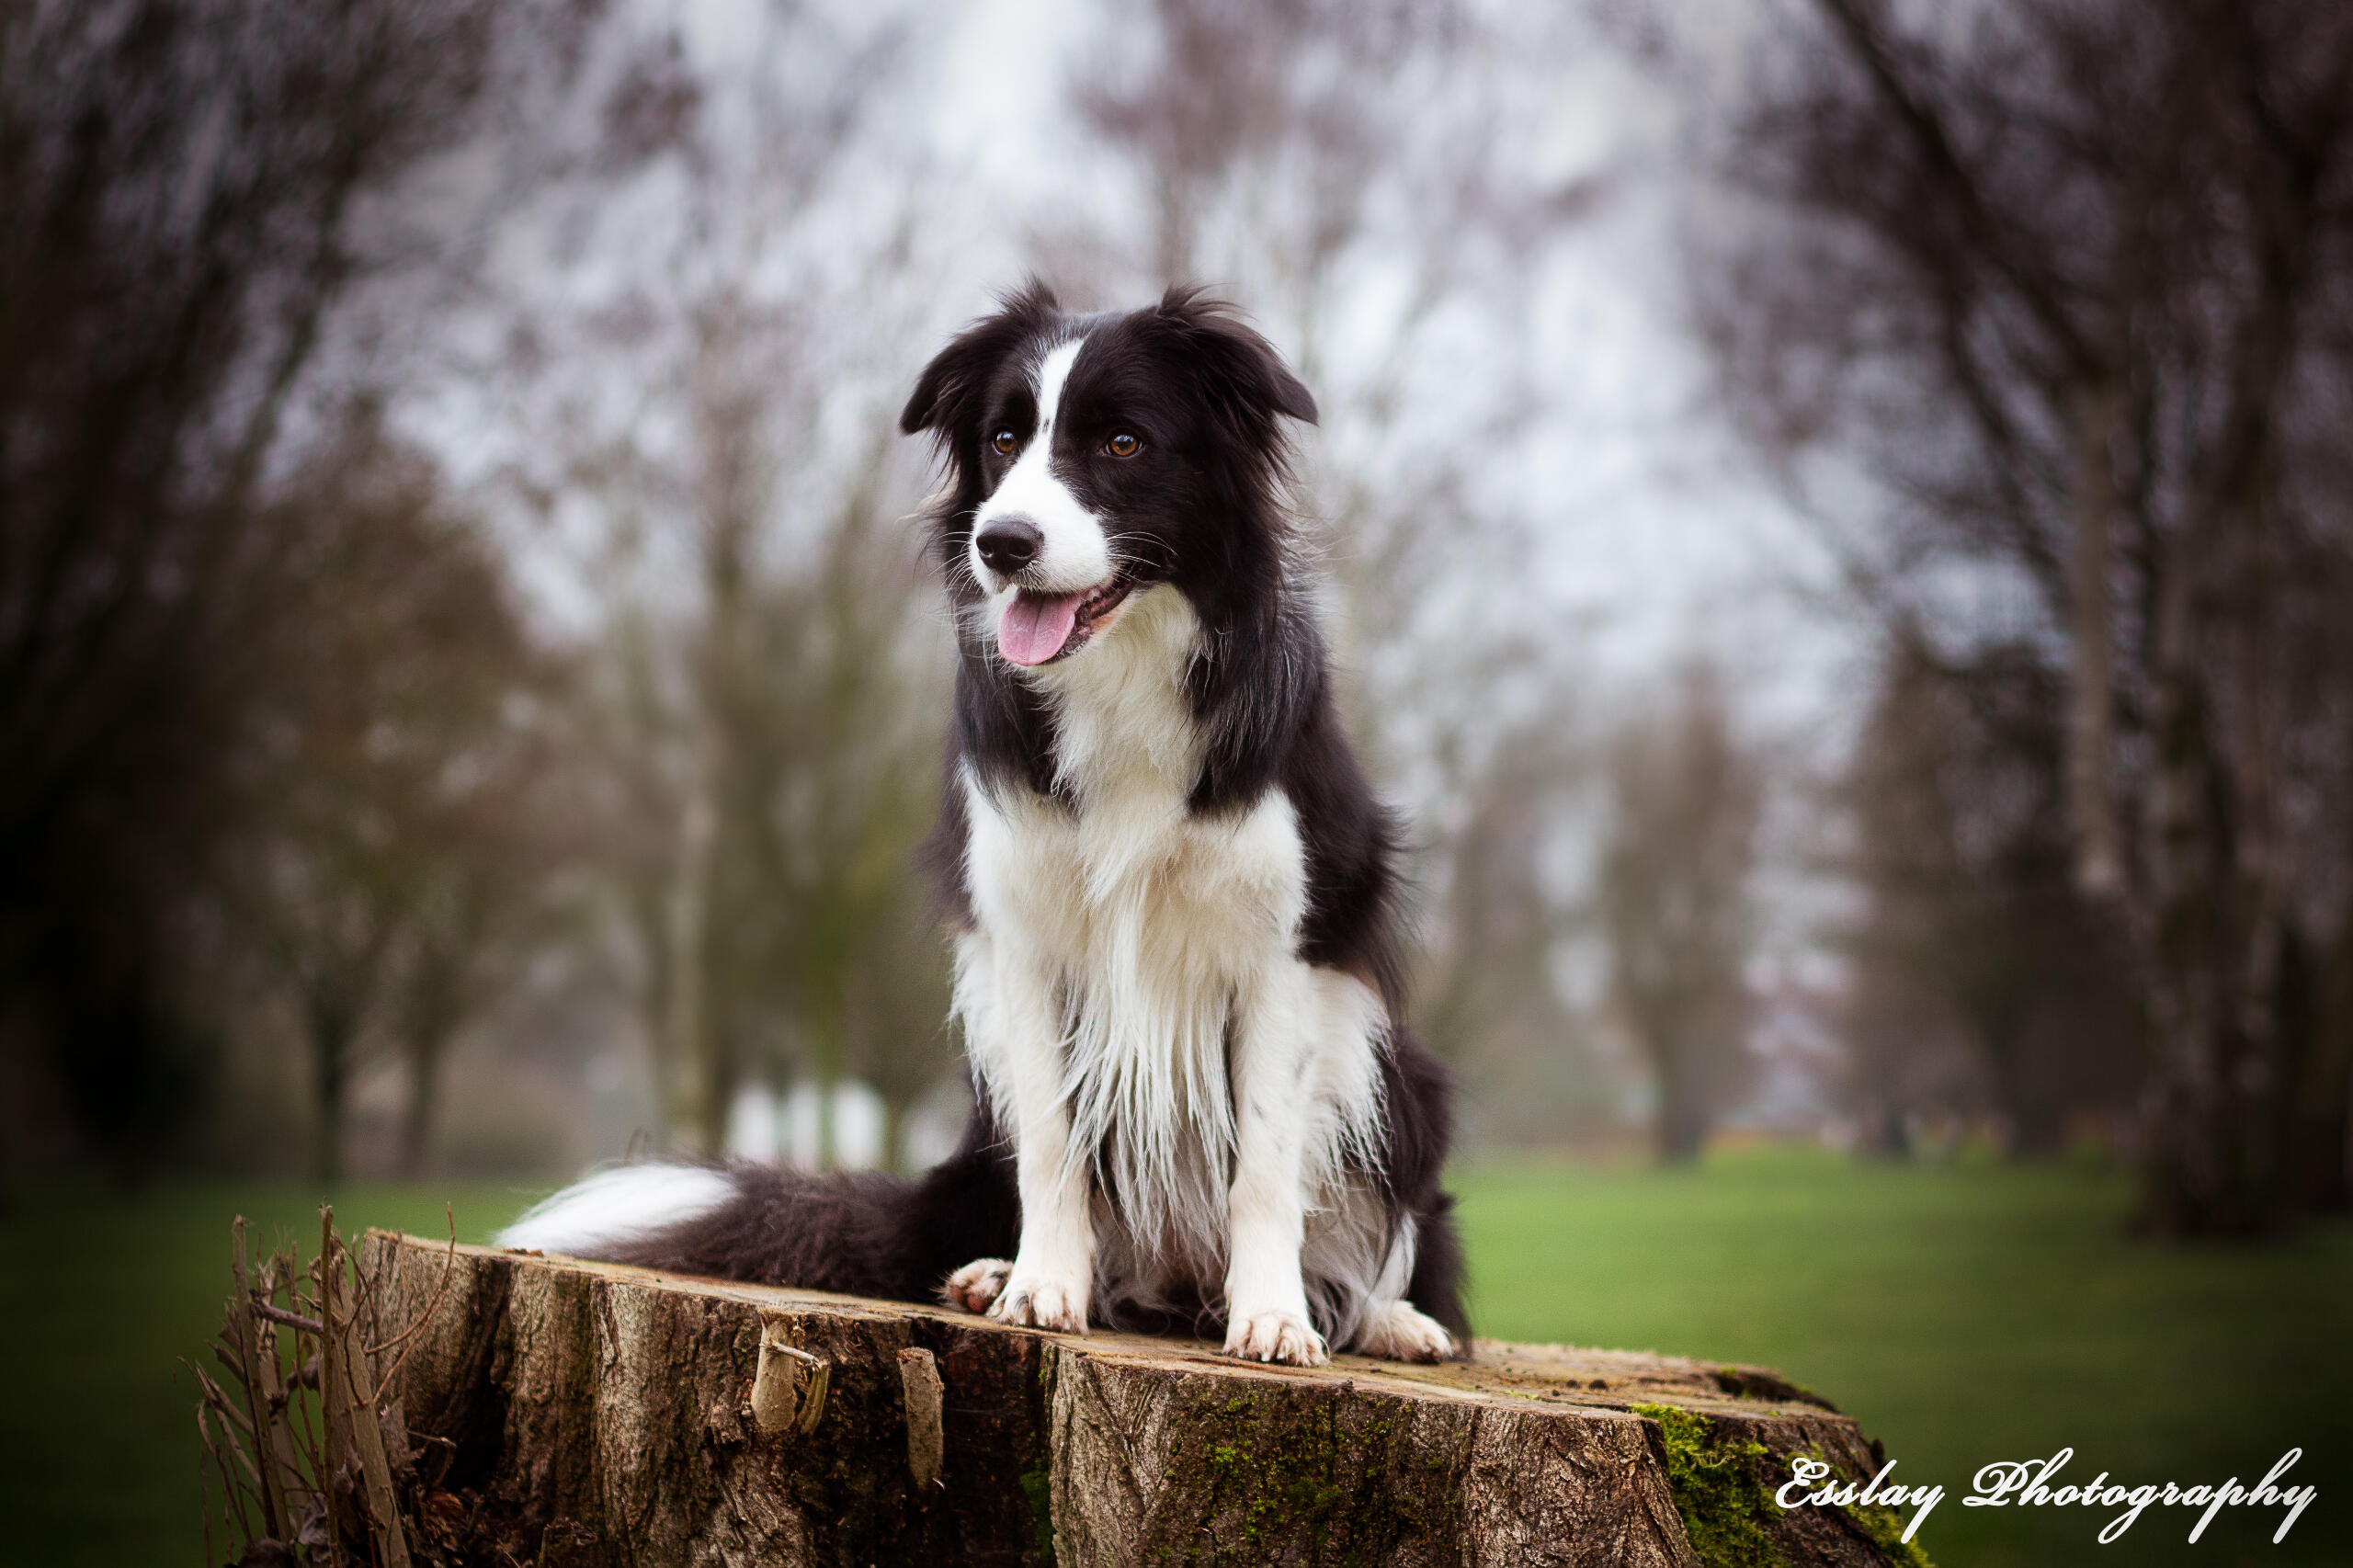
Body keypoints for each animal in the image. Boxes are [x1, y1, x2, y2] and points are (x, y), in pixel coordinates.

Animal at [503, 287, 1459, 1365]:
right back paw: (994, 1272)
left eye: (1123, 441)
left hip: (1408, 1081)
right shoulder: (1023, 944)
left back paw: (1389, 1319)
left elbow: (1263, 1160)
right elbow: (1051, 1139)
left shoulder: (1286, 954)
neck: (1120, 675)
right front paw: (1042, 1287)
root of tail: (1175, 1283)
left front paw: (1275, 1316)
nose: (1002, 543)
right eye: (1004, 440)